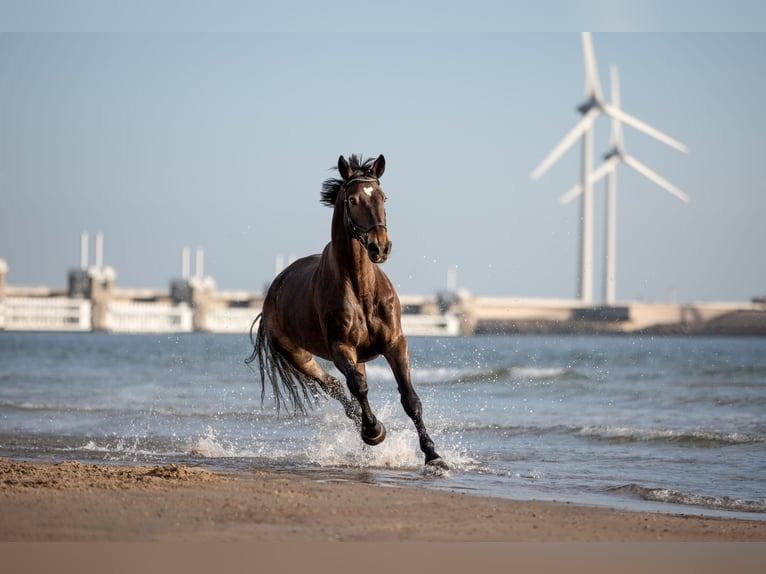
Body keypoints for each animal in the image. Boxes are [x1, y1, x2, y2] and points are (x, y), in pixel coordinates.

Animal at [249, 155, 448, 470]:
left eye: (383, 197)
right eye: (353, 200)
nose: (380, 247)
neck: (361, 288)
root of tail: (273, 290)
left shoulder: (395, 343)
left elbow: (410, 399)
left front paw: (433, 455)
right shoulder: (342, 348)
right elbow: (358, 387)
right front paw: (374, 432)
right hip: (300, 356)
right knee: (337, 388)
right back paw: (368, 431)